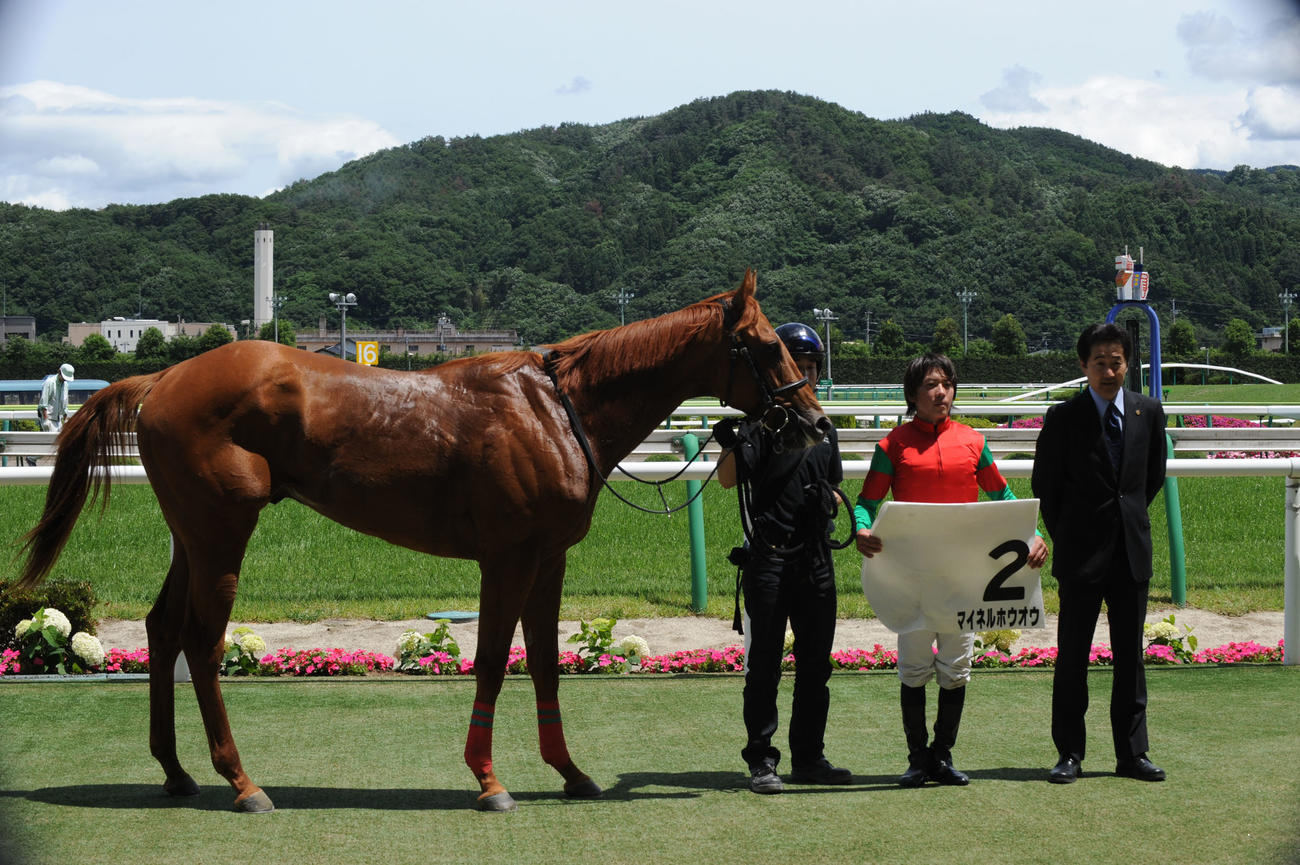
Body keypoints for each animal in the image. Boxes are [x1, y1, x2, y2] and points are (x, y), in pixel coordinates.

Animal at [16, 269, 830, 812]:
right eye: (764, 346)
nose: (817, 422)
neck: (557, 409)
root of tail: (161, 377)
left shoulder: (549, 557)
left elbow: (544, 665)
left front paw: (571, 773)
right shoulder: (506, 556)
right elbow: (495, 663)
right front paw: (490, 780)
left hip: (193, 532)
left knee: (161, 629)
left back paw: (176, 772)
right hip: (222, 532)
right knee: (202, 641)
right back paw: (242, 783)